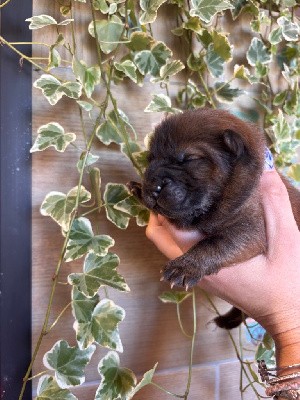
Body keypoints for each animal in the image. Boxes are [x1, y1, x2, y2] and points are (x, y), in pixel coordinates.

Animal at [128, 108, 300, 328]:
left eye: (189, 158)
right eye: (150, 159)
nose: (151, 186)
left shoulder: (251, 230)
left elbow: (215, 243)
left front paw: (185, 266)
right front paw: (138, 189)